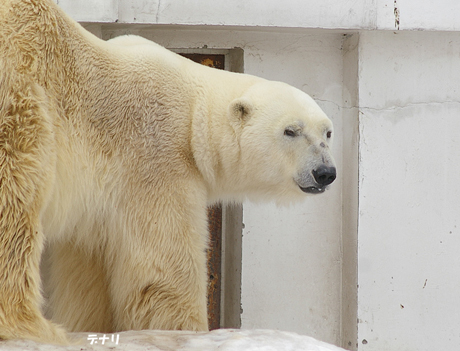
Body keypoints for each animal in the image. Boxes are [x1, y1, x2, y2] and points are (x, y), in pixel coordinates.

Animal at [0, 0, 334, 346]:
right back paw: (30, 324)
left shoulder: (98, 208)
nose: (325, 172)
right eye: (291, 131)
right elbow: (165, 266)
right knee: (17, 198)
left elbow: (88, 272)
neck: (193, 114)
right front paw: (188, 331)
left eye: (328, 133)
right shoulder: (158, 157)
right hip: (24, 96)